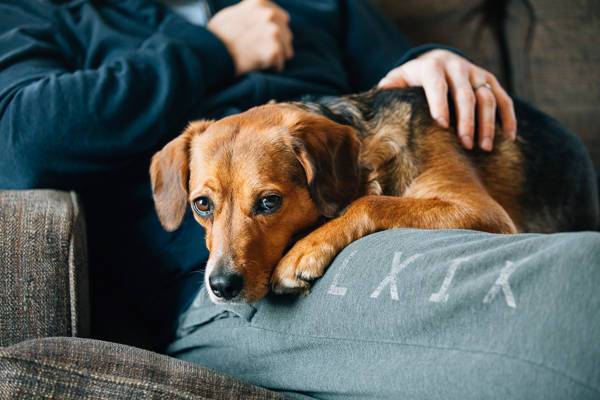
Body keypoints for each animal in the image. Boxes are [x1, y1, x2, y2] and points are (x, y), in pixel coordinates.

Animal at [150, 87, 600, 304]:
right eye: (202, 206)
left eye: (269, 202)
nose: (221, 286)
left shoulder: (485, 211)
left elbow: (369, 202)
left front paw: (305, 250)